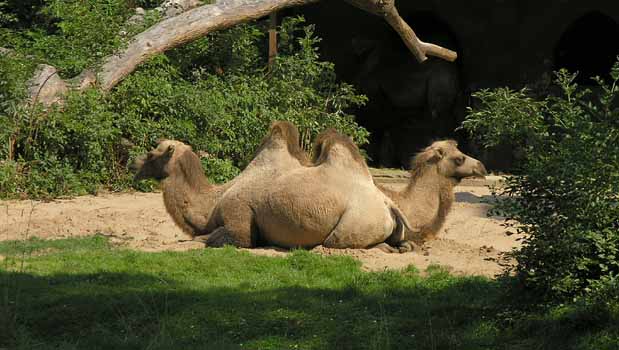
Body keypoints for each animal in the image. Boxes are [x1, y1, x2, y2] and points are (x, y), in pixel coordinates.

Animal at [206, 129, 414, 252]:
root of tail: (389, 204)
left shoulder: (239, 205)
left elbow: (236, 236)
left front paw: (210, 239)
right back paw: (405, 246)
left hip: (361, 218)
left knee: (335, 241)